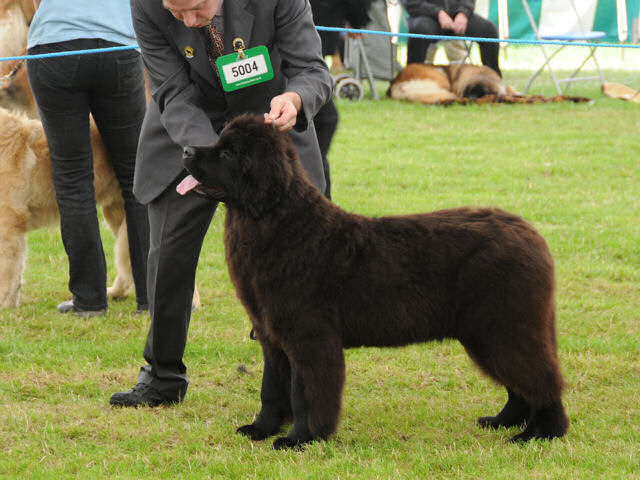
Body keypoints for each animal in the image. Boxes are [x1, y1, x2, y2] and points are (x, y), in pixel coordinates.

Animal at [176, 113, 568, 450]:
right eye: (219, 140)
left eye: (227, 152)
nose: (186, 151)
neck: (275, 219)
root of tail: (531, 233)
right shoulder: (271, 335)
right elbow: (271, 388)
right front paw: (261, 429)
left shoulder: (309, 337)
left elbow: (305, 394)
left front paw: (300, 439)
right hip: (492, 333)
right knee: (521, 385)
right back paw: (503, 422)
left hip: (504, 327)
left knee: (541, 380)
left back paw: (541, 434)